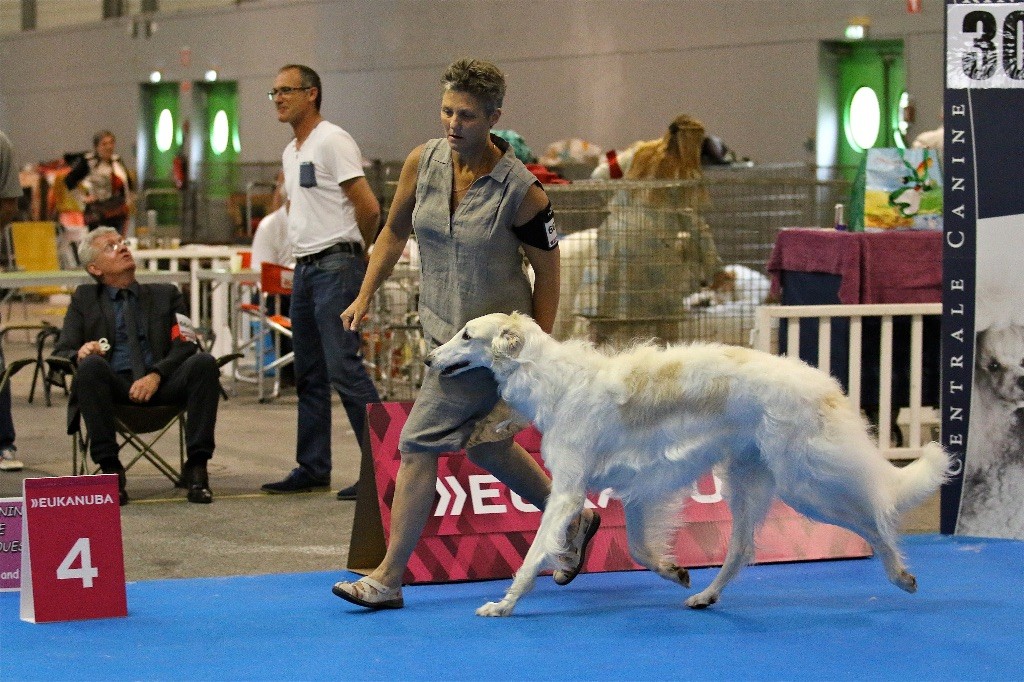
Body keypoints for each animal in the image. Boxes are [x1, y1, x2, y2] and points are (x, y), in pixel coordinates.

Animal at [425, 311, 950, 614]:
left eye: (466, 335)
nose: (430, 359)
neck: (554, 380)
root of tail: (825, 385)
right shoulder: (642, 489)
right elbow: (640, 549)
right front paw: (674, 571)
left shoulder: (569, 491)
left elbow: (533, 555)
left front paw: (504, 604)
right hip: (748, 481)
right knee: (741, 550)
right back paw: (705, 595)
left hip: (805, 485)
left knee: (874, 516)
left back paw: (901, 574)